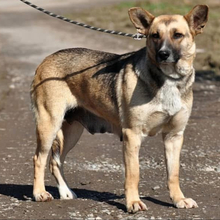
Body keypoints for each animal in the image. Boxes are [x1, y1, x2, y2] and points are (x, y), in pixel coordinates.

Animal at [30, 4, 208, 213]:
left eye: (178, 35)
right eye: (154, 35)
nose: (163, 54)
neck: (168, 78)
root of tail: (46, 60)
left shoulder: (174, 136)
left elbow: (174, 173)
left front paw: (178, 199)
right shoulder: (132, 135)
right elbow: (133, 173)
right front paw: (133, 202)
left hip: (72, 132)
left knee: (55, 162)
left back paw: (66, 192)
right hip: (49, 125)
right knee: (39, 159)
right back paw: (39, 193)